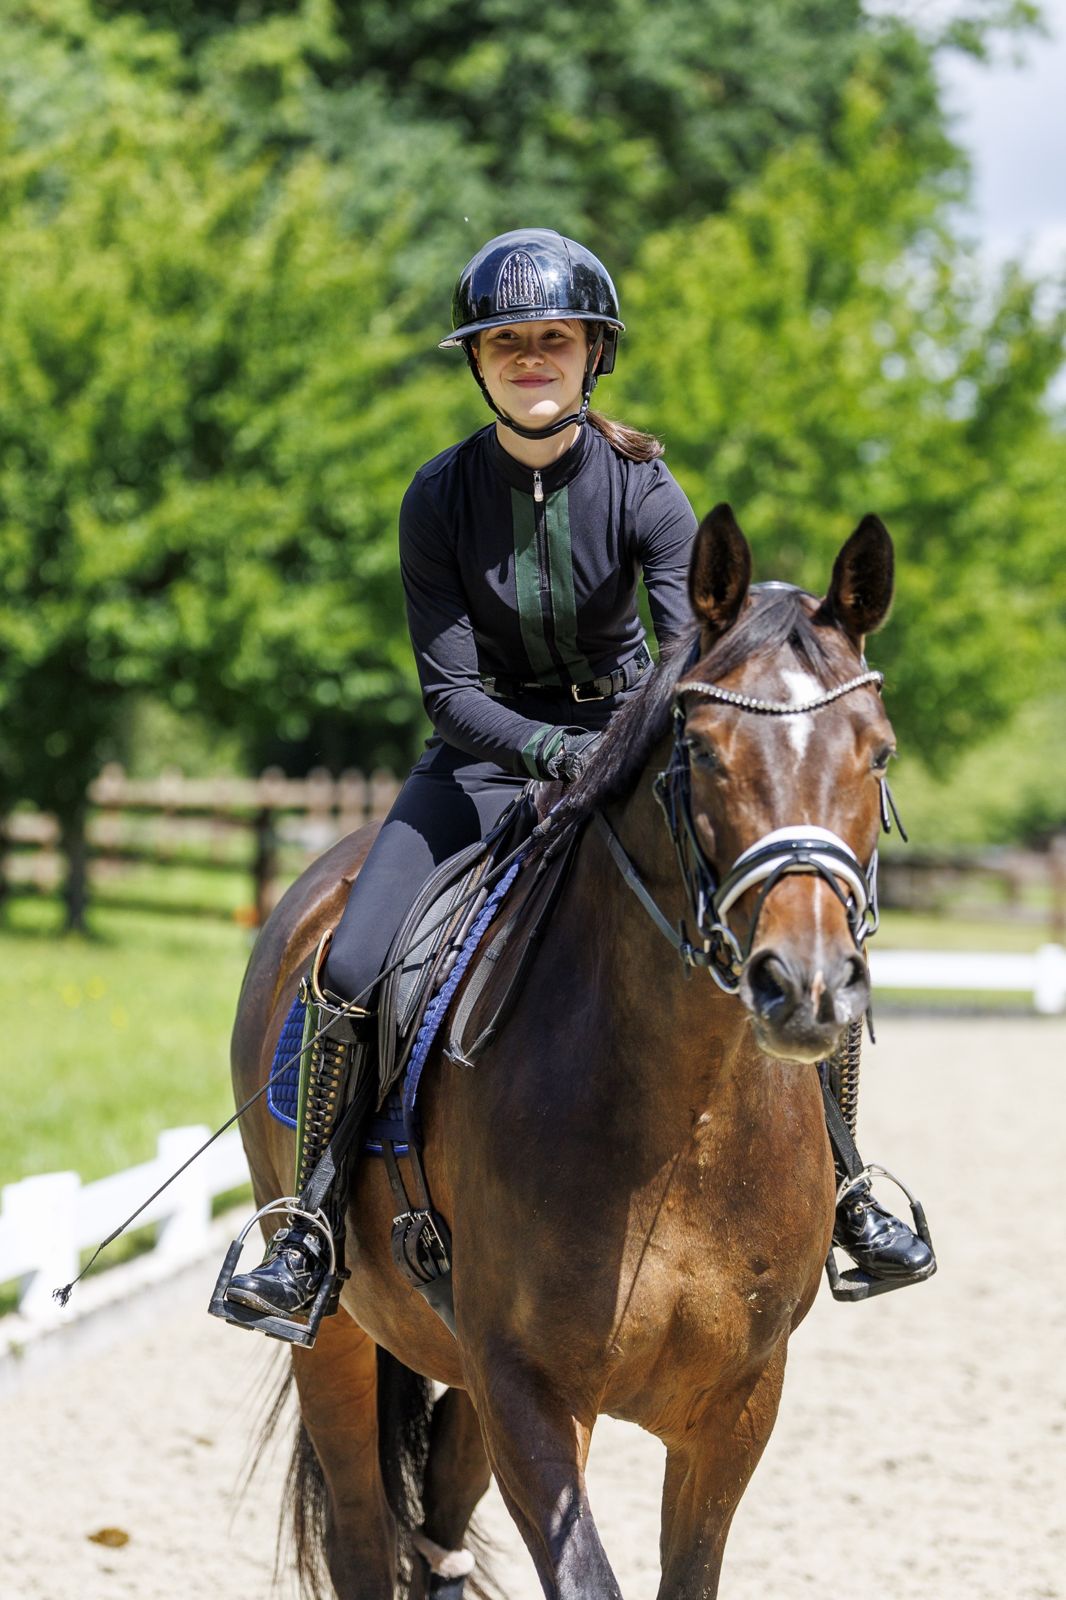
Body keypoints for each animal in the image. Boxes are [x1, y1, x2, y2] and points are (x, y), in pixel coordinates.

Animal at [229, 502, 898, 1599]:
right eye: (703, 749)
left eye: (876, 752)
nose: (804, 985)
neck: (682, 1125)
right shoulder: (531, 1396)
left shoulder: (737, 1404)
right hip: (336, 1338)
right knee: (367, 1535)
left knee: (437, 1526)